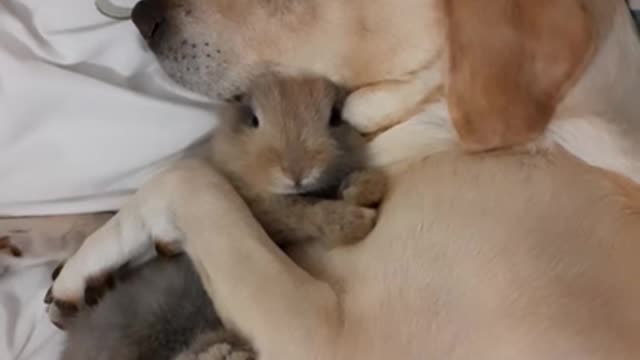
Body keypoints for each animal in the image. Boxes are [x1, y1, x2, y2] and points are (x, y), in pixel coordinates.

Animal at [210, 72, 388, 248]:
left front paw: (364, 187)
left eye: (335, 117)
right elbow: (305, 212)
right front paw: (359, 221)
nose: (297, 173)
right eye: (253, 120)